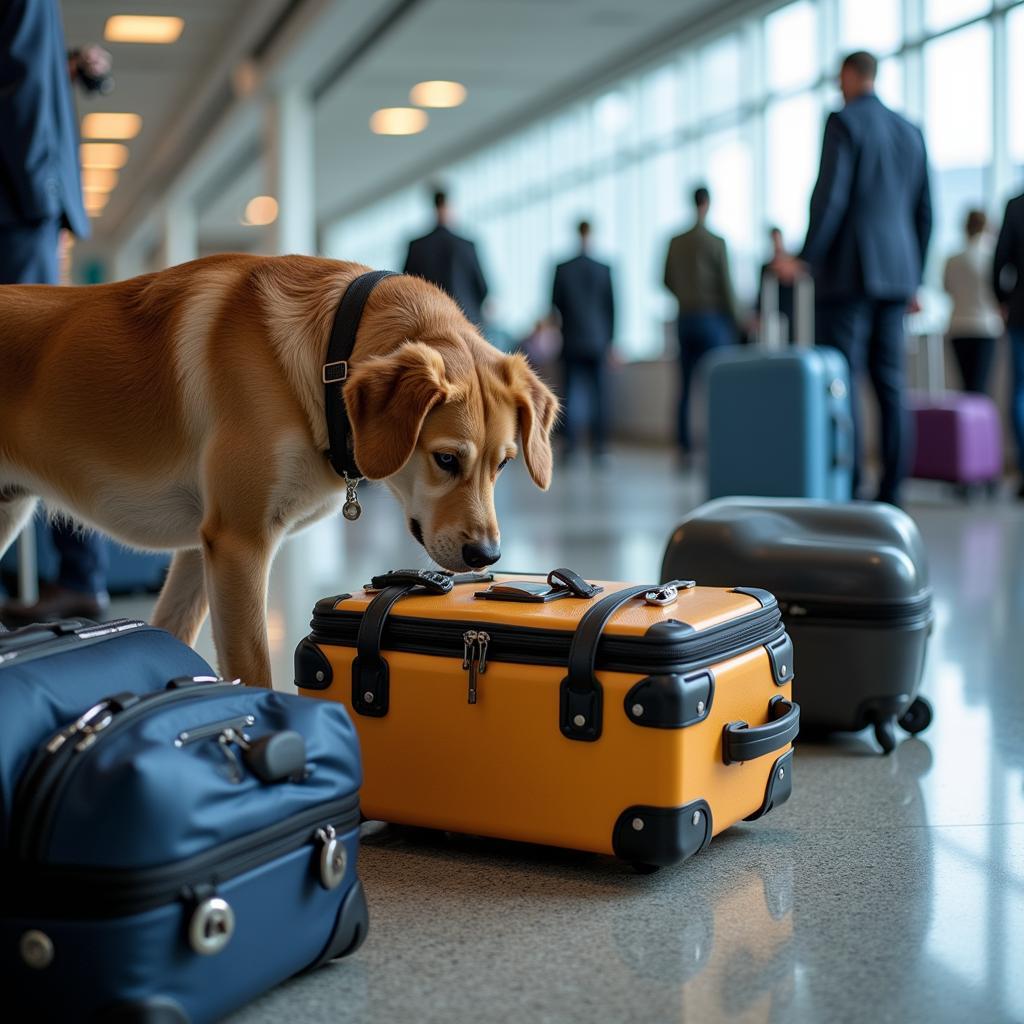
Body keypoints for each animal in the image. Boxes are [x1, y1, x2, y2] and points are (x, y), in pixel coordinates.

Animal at [0, 253, 561, 688]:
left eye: (504, 464)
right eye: (446, 459)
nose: (487, 555)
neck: (328, 356)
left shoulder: (202, 549)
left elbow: (171, 631)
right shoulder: (239, 544)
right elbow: (253, 672)